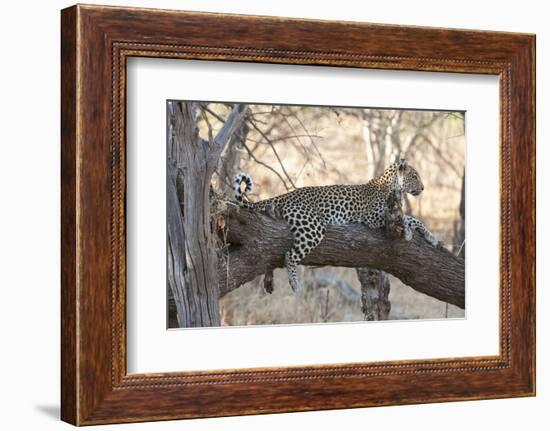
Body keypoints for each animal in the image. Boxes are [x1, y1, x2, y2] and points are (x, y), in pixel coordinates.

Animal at [233, 159, 440, 294]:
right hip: (313, 227)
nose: (423, 188)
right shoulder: (372, 217)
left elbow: (414, 219)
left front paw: (431, 237)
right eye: (414, 176)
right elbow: (408, 218)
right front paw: (409, 233)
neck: (393, 188)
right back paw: (295, 284)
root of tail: (285, 195)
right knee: (289, 255)